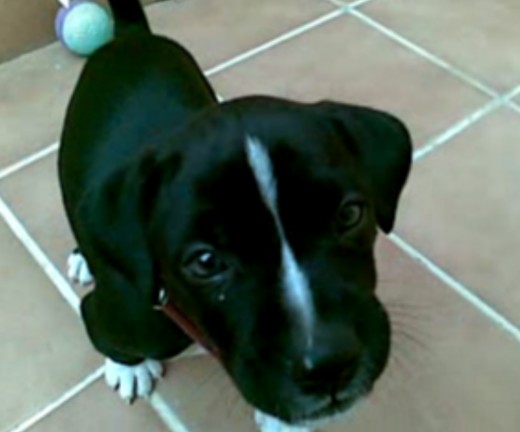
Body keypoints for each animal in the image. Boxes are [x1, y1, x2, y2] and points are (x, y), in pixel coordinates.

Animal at [58, 1, 410, 430]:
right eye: (206, 262)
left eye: (349, 215)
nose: (329, 366)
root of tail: (129, 36)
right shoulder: (118, 315)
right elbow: (109, 334)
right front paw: (129, 368)